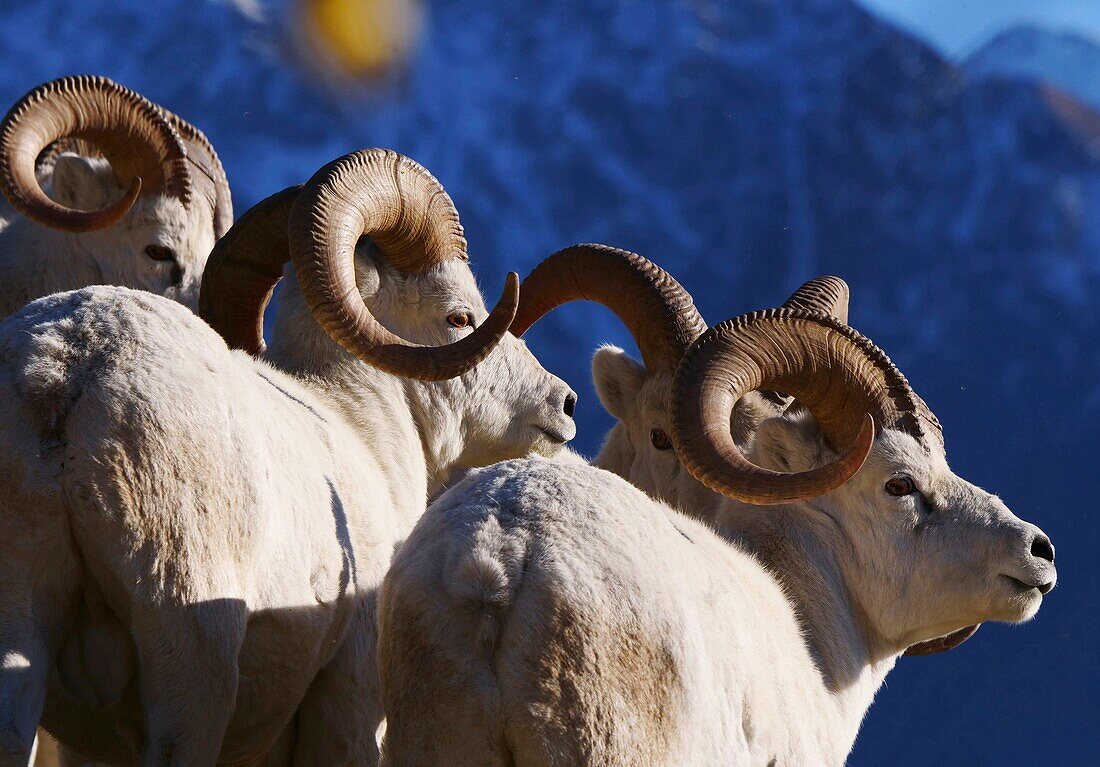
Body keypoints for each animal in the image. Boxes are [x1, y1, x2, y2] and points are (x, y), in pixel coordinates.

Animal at [0, 146, 580, 761]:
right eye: (460, 316)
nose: (564, 403)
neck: (358, 428)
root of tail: (68, 369)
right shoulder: (351, 705)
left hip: (21, 635)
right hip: (189, 664)